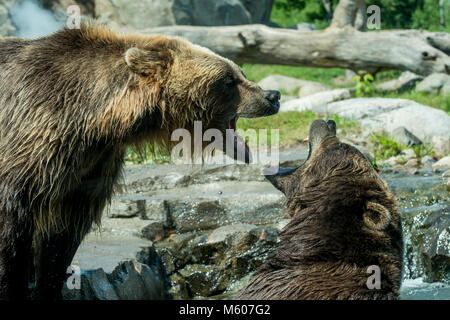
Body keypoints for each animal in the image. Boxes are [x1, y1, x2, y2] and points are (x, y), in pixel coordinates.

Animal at [0, 23, 280, 300]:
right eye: (228, 80)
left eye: (241, 72)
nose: (273, 95)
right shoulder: (33, 142)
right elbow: (12, 224)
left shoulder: (90, 166)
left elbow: (62, 238)